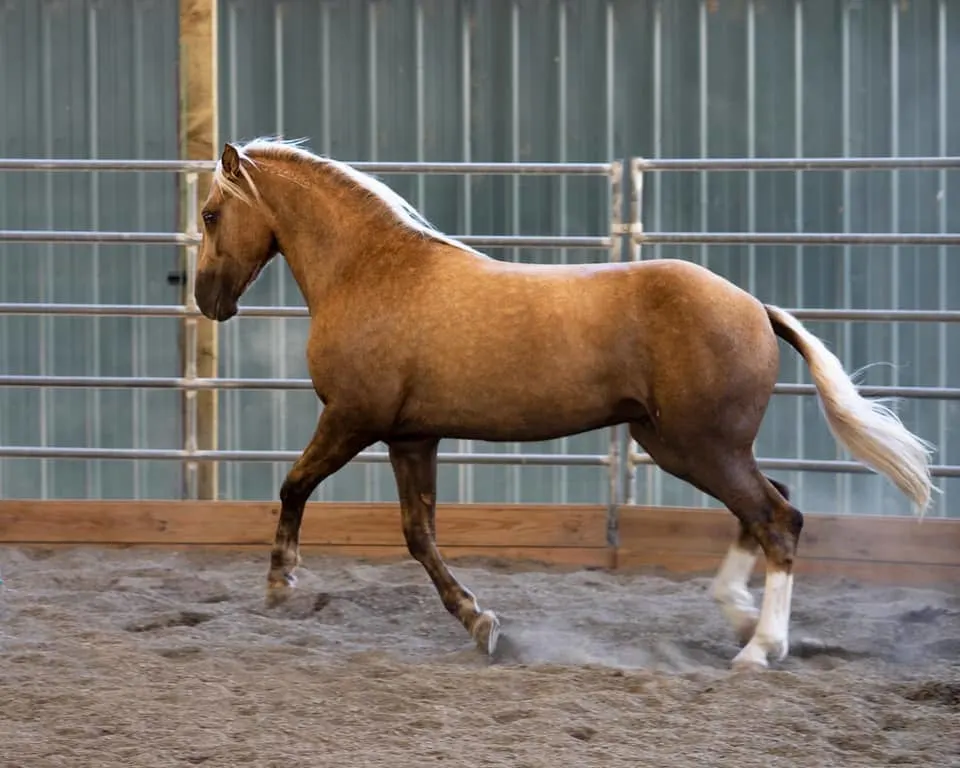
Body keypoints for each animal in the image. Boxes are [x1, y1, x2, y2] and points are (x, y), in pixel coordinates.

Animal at [191, 141, 932, 668]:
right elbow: (418, 535)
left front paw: (281, 583)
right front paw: (482, 624)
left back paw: (757, 649)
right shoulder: (411, 437)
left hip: (703, 447)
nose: (207, 299)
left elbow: (294, 486)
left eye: (209, 214)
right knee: (767, 509)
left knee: (779, 519)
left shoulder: (352, 419)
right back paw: (743, 618)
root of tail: (755, 308)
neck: (372, 271)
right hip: (681, 446)